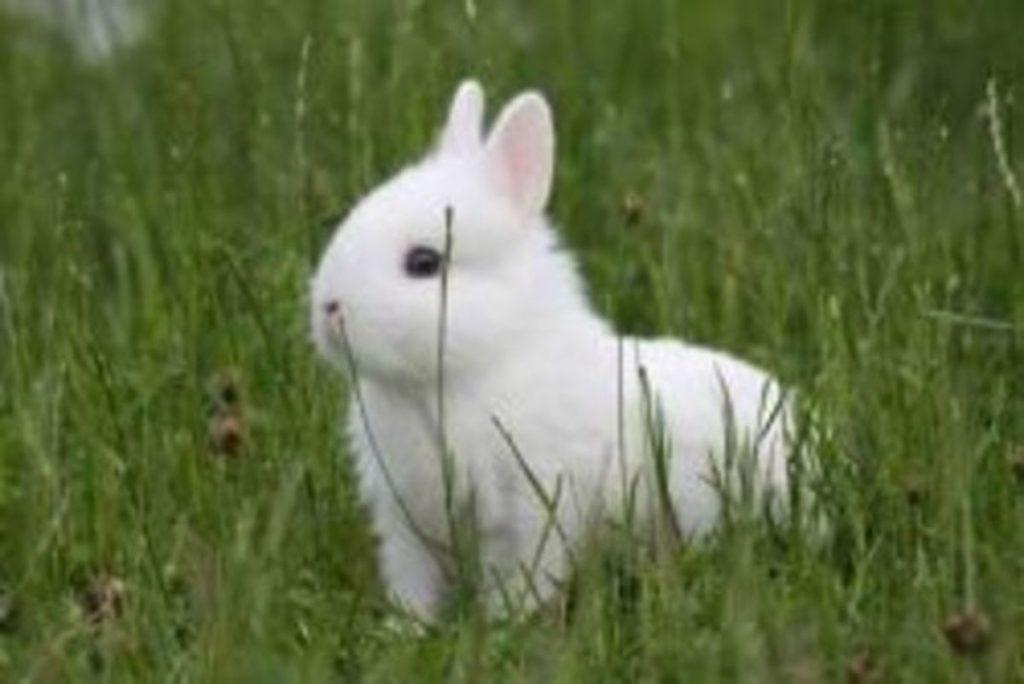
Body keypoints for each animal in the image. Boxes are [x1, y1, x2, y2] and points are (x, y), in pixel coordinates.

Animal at [311, 79, 797, 620]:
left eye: (423, 262)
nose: (328, 307)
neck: (476, 366)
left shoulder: (531, 508)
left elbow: (521, 572)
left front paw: (503, 623)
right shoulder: (406, 525)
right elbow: (413, 584)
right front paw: (406, 628)